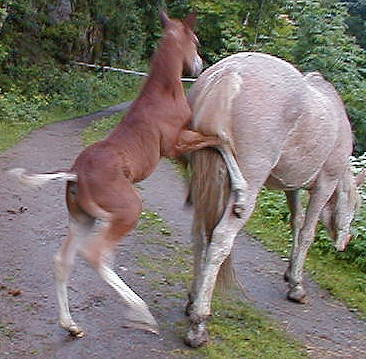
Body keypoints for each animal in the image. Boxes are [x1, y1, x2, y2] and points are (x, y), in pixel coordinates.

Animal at [11, 11, 222, 338]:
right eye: (196, 41)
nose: (199, 65)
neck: (163, 91)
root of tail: (74, 174)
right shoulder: (176, 144)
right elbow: (213, 138)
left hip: (83, 218)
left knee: (63, 260)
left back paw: (71, 325)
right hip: (127, 210)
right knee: (95, 255)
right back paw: (141, 314)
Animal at [184, 52, 364, 348]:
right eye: (357, 206)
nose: (345, 242)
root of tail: (229, 72)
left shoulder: (292, 186)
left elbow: (296, 222)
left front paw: (290, 273)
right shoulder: (324, 185)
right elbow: (307, 233)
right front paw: (297, 287)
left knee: (200, 236)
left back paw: (192, 301)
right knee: (220, 240)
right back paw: (198, 322)